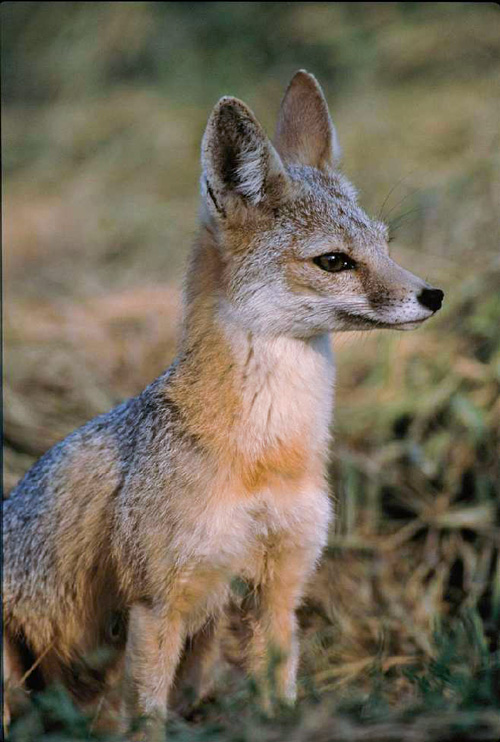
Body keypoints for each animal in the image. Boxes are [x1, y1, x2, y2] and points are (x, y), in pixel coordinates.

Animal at [3, 70, 444, 737]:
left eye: (387, 245)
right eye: (335, 261)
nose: (433, 295)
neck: (266, 452)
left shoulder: (280, 588)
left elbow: (278, 693)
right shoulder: (157, 601)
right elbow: (147, 717)